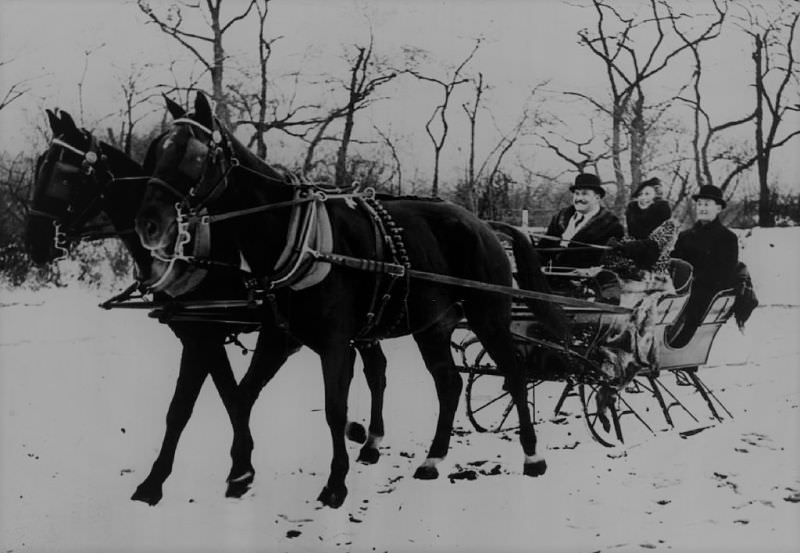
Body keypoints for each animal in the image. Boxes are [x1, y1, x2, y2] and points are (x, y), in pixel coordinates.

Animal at [23, 108, 390, 504]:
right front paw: (230, 466)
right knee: (376, 366)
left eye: (65, 175)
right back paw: (368, 438)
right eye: (41, 166)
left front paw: (219, 472)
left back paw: (367, 439)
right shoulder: (197, 335)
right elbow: (221, 397)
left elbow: (202, 403)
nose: (34, 242)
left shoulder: (208, 334)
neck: (188, 251)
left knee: (374, 369)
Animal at [133, 91, 568, 508]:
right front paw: (238, 473)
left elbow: (332, 409)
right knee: (449, 384)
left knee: (514, 375)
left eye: (194, 154)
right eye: (157, 151)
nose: (148, 224)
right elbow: (239, 397)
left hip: (487, 316)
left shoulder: (333, 342)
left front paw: (335, 484)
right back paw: (432, 459)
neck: (295, 237)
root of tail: (484, 224)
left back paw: (533, 456)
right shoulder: (277, 338)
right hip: (431, 327)